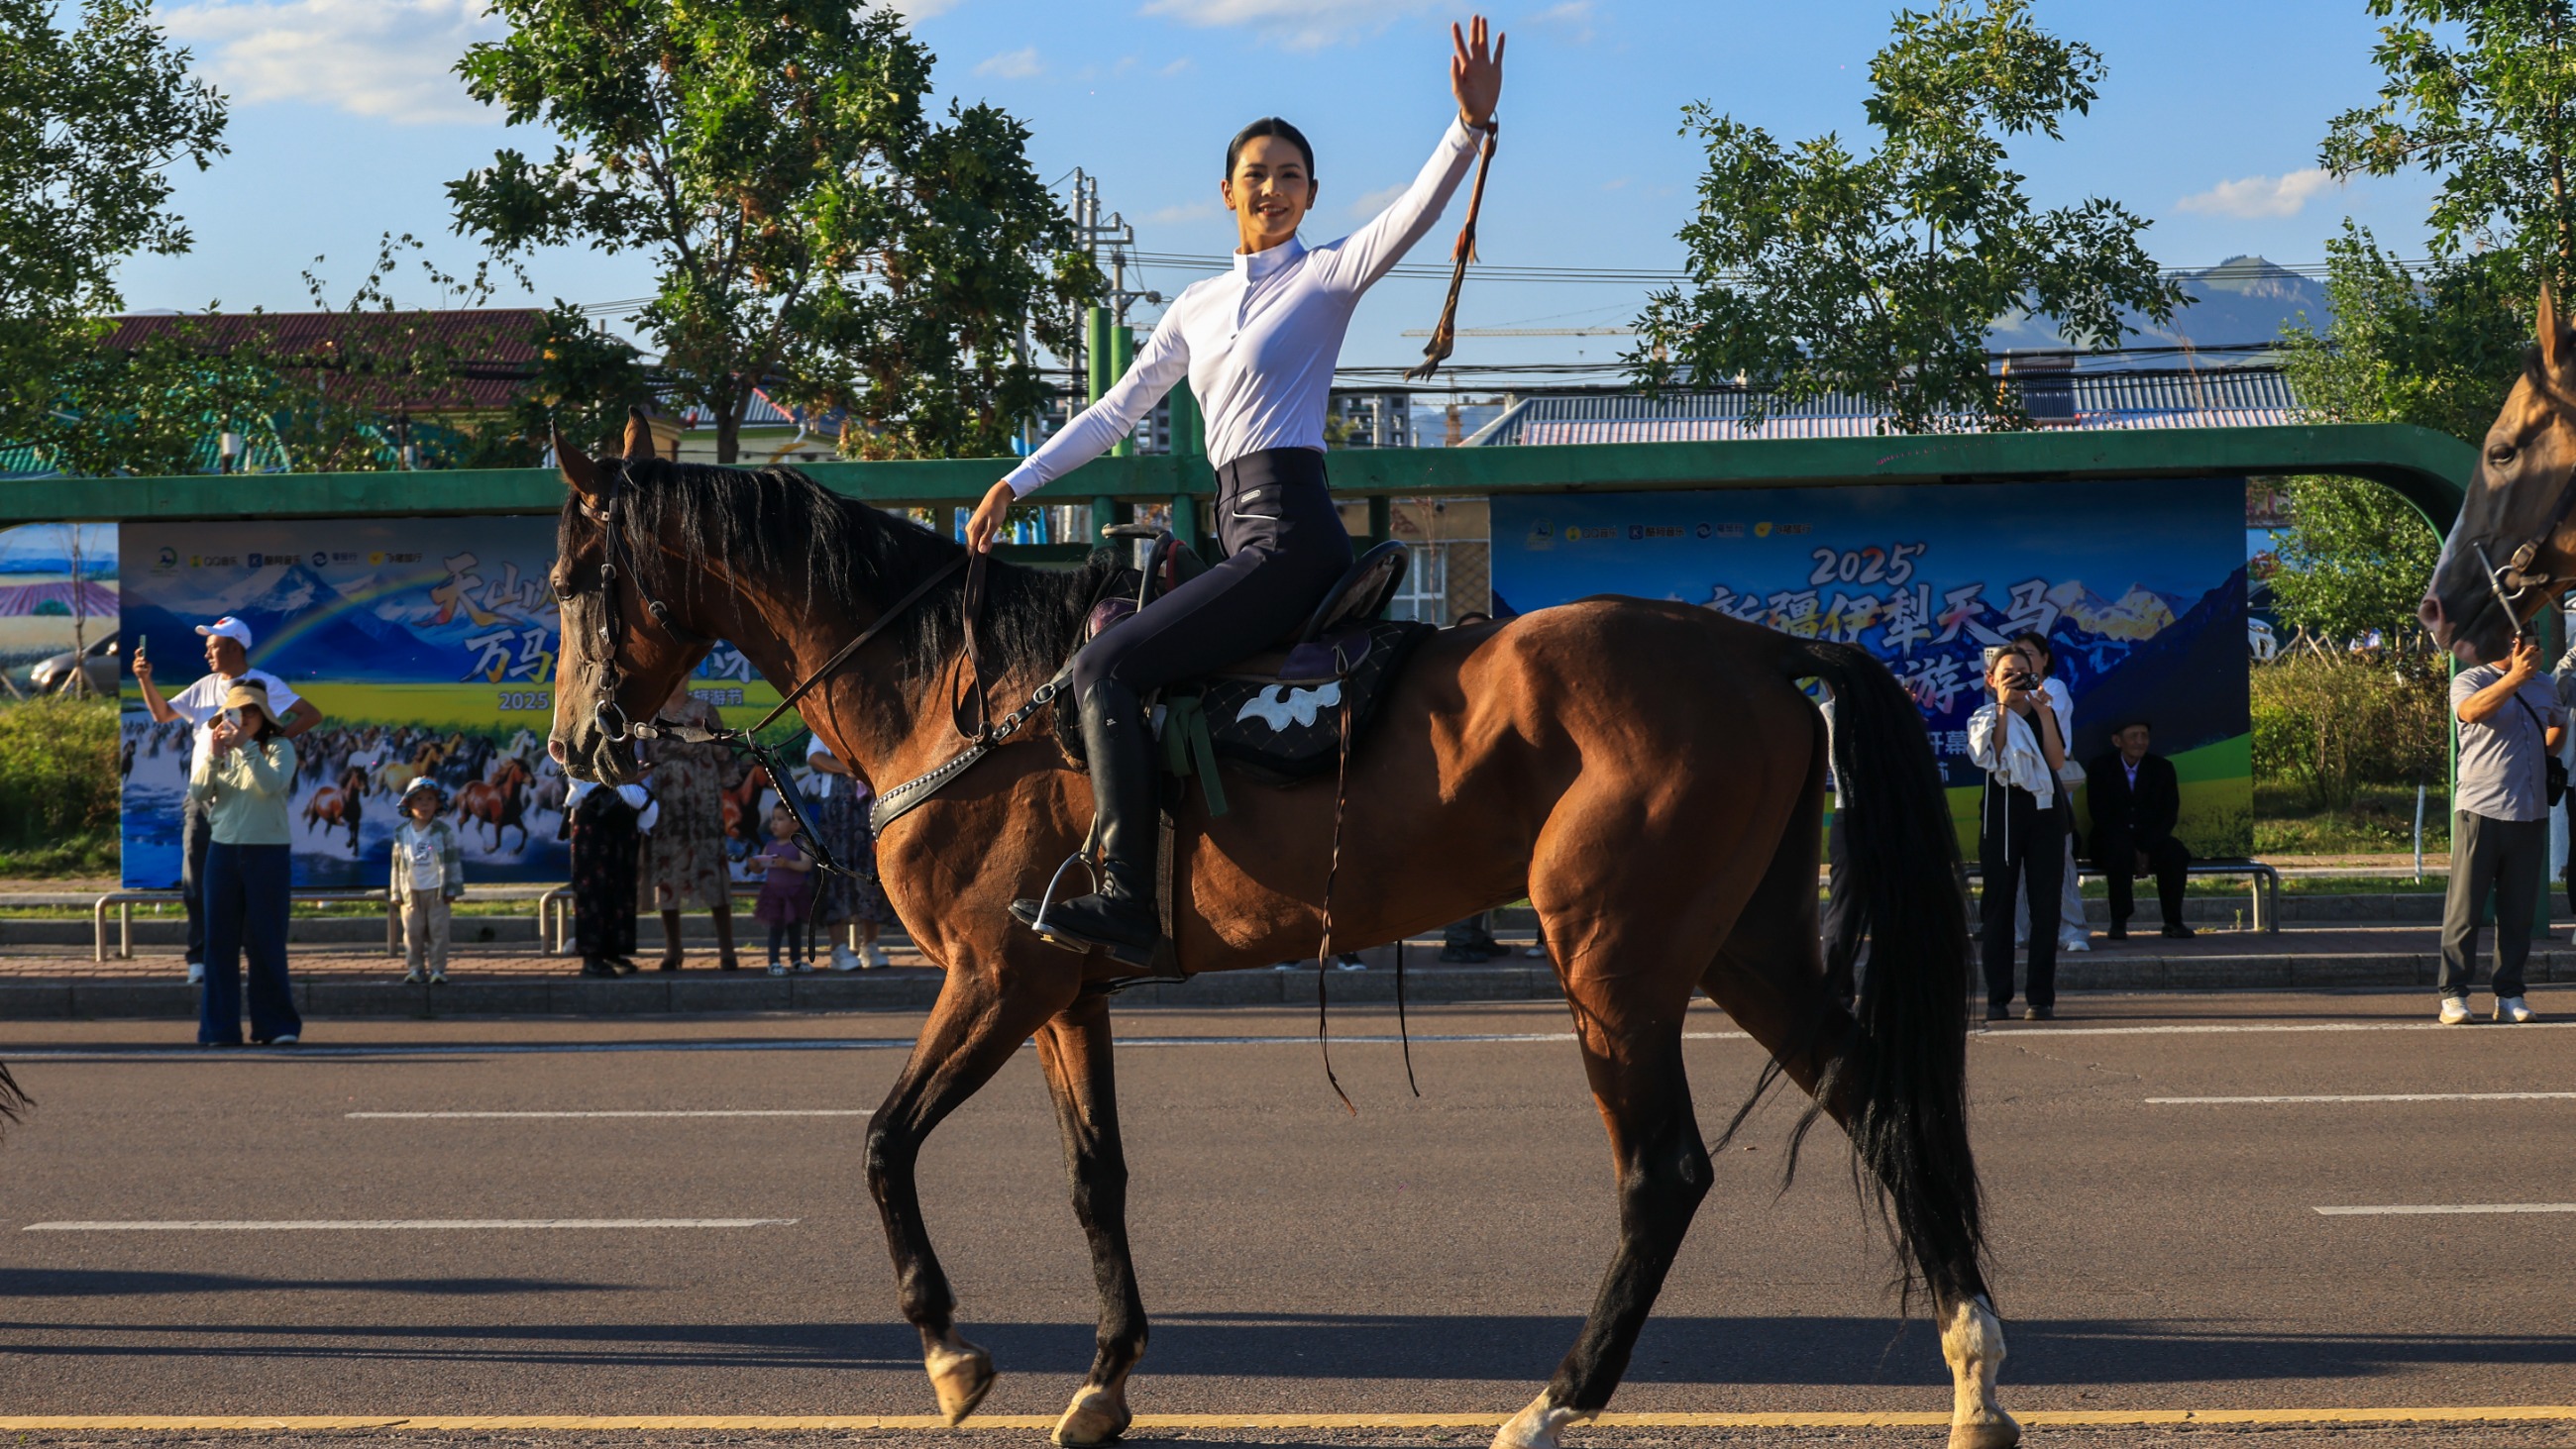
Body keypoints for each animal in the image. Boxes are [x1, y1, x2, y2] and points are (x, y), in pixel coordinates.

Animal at [541, 427, 2012, 1449]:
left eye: (570, 578)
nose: (574, 747)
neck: (974, 692)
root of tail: (1757, 650)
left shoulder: (994, 974)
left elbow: (882, 1140)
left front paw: (954, 1352)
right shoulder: (1065, 987)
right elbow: (1096, 1177)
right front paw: (1104, 1378)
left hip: (1616, 957)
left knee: (1664, 1171)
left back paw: (1555, 1399)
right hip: (1742, 949)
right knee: (1879, 1100)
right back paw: (1973, 1369)